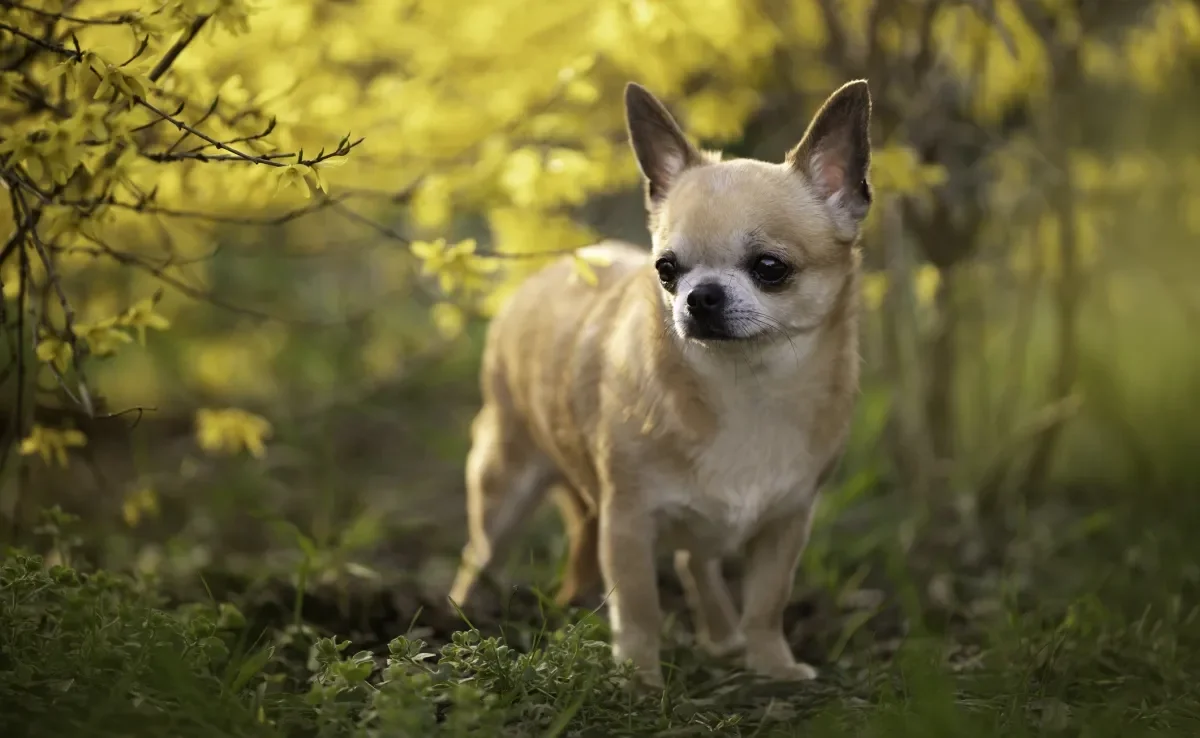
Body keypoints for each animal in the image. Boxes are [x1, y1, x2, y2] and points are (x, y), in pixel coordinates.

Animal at [451, 81, 873, 686]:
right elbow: (639, 606)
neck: (744, 388)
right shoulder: (628, 521)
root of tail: (548, 272)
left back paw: (722, 635)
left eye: (770, 268)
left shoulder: (787, 522)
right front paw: (639, 679)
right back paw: (459, 619)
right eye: (666, 270)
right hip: (502, 479)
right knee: (478, 554)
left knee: (695, 559)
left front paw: (772, 665)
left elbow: (767, 602)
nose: (701, 296)